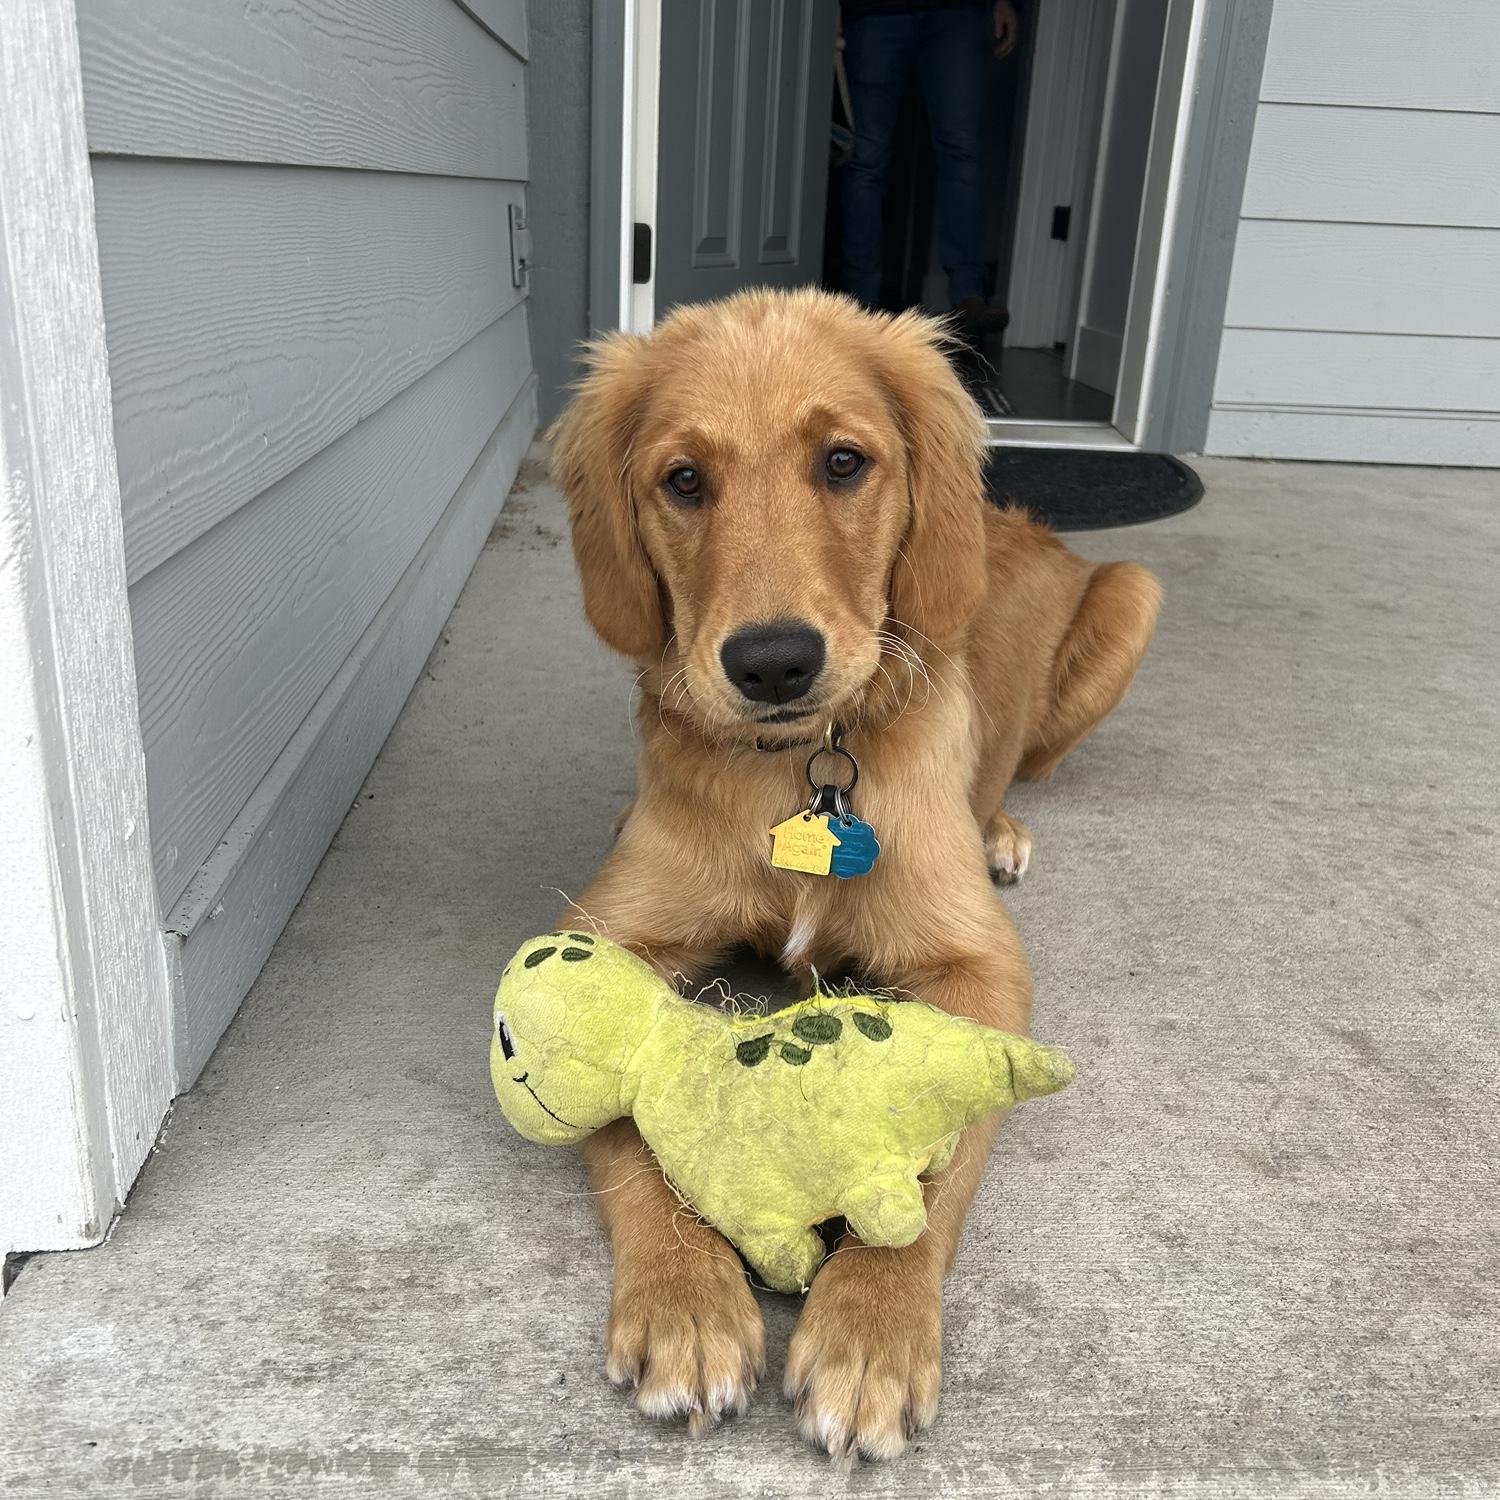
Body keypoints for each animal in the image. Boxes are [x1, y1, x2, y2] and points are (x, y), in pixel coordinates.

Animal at [548, 287, 1160, 1462]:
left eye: (843, 462)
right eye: (682, 480)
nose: (773, 663)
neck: (797, 770)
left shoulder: (978, 971)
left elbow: (933, 1143)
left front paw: (871, 1328)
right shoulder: (604, 938)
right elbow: (628, 1123)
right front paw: (685, 1298)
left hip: (1133, 595)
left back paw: (1002, 828)